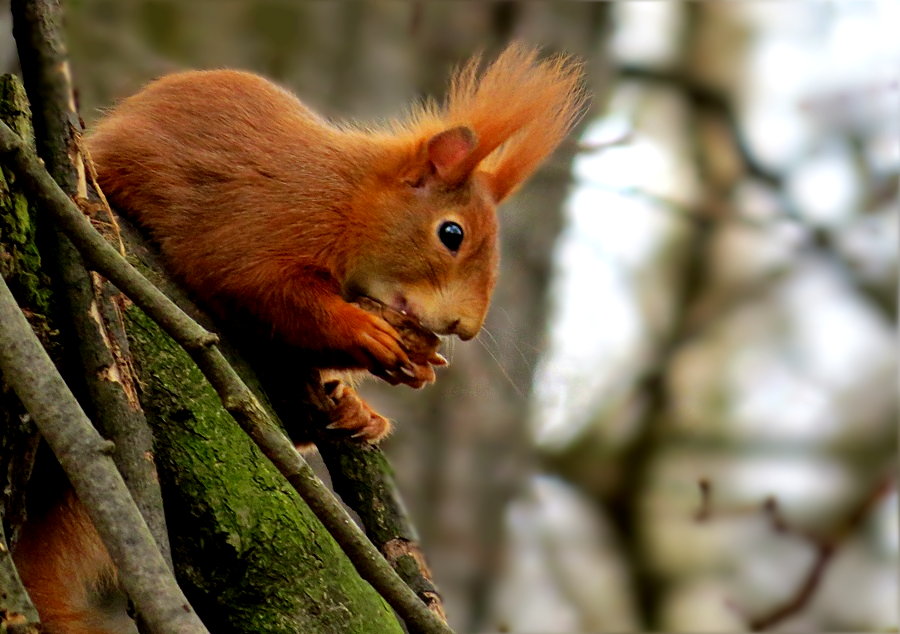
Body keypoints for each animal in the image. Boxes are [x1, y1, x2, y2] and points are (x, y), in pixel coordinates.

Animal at [17, 42, 588, 628]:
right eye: (451, 233)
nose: (465, 329)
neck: (350, 200)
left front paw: (387, 385)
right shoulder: (270, 220)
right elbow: (263, 287)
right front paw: (364, 331)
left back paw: (341, 410)